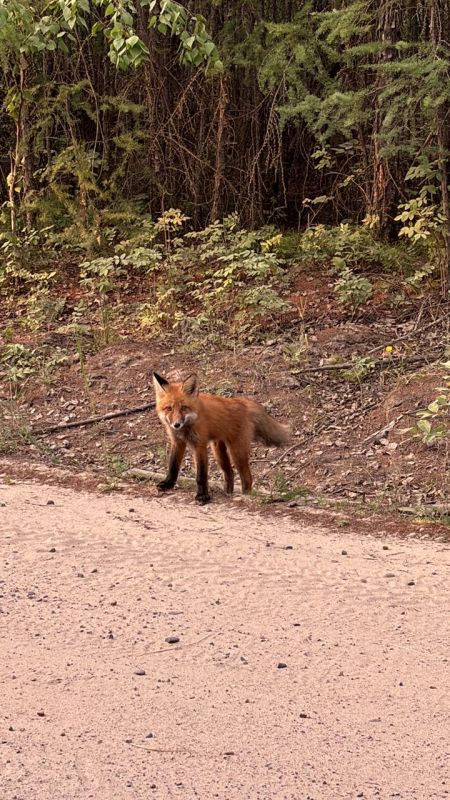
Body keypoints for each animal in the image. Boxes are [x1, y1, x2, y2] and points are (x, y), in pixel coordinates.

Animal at [153, 372, 290, 504]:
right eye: (169, 408)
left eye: (183, 408)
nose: (176, 425)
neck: (186, 427)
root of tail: (242, 402)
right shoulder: (177, 442)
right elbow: (173, 466)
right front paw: (168, 484)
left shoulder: (199, 445)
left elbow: (201, 476)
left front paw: (202, 496)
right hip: (218, 452)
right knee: (230, 474)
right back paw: (228, 494)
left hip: (236, 452)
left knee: (247, 478)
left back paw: (245, 496)